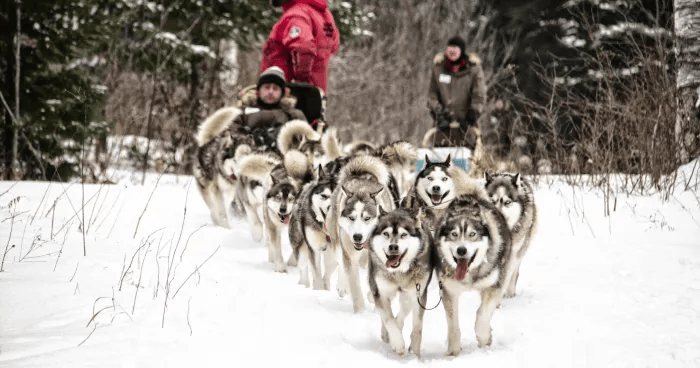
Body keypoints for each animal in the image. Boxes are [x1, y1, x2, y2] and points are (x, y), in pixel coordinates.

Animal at [326, 154, 396, 312]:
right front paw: (359, 312)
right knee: (341, 263)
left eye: (367, 218)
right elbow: (355, 286)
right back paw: (342, 286)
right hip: (337, 242)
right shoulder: (350, 256)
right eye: (352, 218)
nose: (357, 237)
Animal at [366, 207, 432, 356]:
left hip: (408, 294)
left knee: (403, 311)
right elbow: (388, 319)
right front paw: (397, 343)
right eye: (386, 233)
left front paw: (414, 352)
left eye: (403, 235)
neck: (399, 272)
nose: (393, 247)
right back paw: (387, 334)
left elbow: (417, 326)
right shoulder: (381, 292)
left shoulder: (418, 294)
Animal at [434, 191, 512, 356]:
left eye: (472, 234)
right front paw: (453, 352)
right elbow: (453, 324)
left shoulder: (493, 286)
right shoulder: (449, 290)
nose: (461, 250)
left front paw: (484, 337)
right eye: (454, 234)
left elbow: (482, 314)